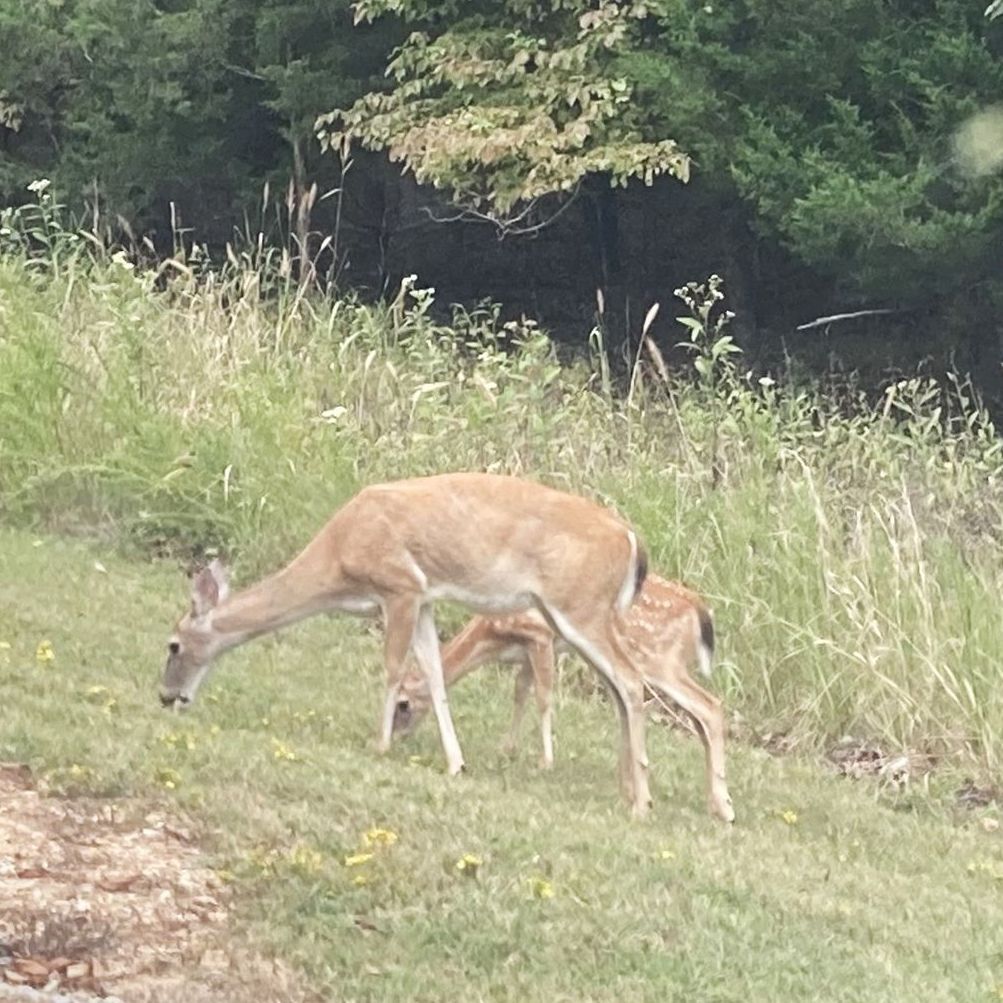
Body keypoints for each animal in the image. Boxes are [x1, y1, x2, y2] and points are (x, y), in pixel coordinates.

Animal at [160, 469, 653, 814]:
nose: (166, 697)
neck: (338, 558)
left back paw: (641, 803)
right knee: (619, 689)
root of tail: (631, 541)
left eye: (173, 645)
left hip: (580, 606)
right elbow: (432, 673)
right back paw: (629, 791)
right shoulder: (426, 599)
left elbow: (394, 666)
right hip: (574, 616)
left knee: (631, 682)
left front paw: (379, 744)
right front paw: (456, 763)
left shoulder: (400, 586)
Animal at [393, 577, 738, 818]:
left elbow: (544, 697)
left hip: (659, 660)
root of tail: (699, 611)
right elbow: (520, 692)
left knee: (710, 707)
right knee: (695, 719)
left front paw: (545, 760)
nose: (397, 737)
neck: (492, 633)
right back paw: (713, 803)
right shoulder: (525, 654)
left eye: (403, 704)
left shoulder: (540, 636)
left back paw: (723, 808)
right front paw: (507, 749)